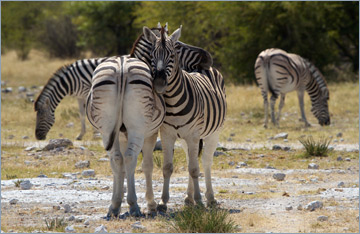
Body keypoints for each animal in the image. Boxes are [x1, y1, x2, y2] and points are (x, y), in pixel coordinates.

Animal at [142, 26, 226, 210]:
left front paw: (200, 201)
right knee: (190, 158)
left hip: (213, 133)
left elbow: (194, 169)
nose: (159, 83)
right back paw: (189, 197)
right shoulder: (167, 134)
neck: (173, 102)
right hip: (184, 138)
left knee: (206, 162)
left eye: (172, 54)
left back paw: (210, 198)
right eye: (152, 54)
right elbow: (167, 167)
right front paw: (163, 201)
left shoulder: (193, 135)